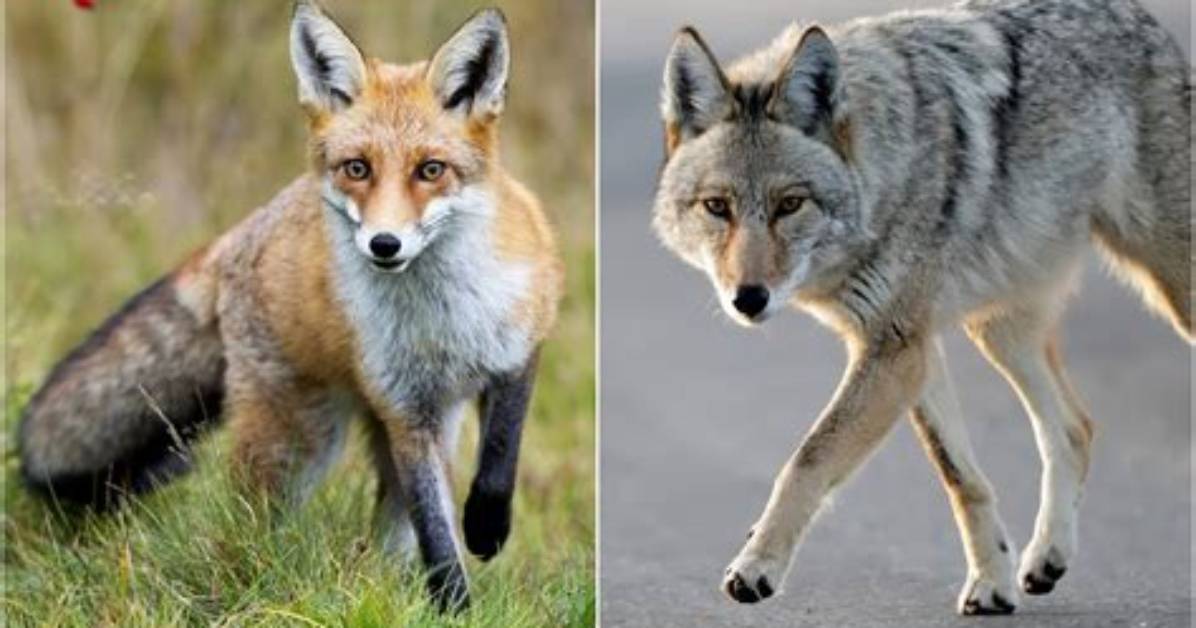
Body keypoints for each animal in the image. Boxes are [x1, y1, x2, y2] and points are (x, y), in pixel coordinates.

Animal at [18, 1, 563, 612]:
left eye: (431, 170)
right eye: (357, 168)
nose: (384, 244)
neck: (441, 317)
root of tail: (242, 231)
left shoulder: (518, 350)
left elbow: (499, 458)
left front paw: (487, 528)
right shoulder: (405, 410)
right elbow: (437, 535)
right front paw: (454, 607)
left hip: (412, 432)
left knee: (387, 531)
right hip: (298, 442)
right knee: (248, 523)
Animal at [652, 0, 1191, 616]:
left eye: (790, 205)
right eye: (718, 207)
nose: (748, 298)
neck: (884, 173)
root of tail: (1144, 20)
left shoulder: (892, 352)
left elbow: (806, 461)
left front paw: (757, 563)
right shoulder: (910, 345)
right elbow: (961, 478)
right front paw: (991, 583)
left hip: (1170, 291)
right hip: (997, 329)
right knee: (1076, 428)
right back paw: (1045, 557)